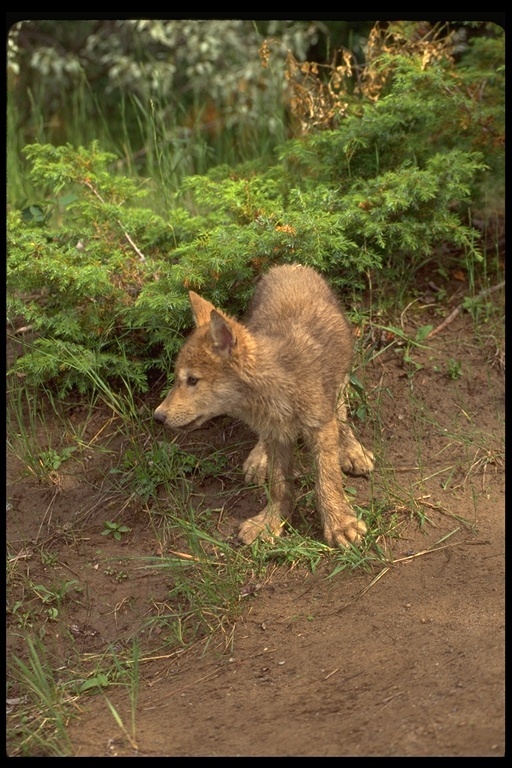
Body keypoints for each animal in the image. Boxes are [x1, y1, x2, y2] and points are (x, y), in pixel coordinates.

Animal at [154, 262, 374, 544]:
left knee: (341, 410)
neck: (276, 390)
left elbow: (327, 478)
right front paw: (271, 520)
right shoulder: (276, 433)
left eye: (192, 380)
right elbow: (279, 484)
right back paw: (259, 459)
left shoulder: (319, 427)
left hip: (342, 373)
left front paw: (339, 524)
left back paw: (352, 448)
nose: (158, 416)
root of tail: (290, 266)